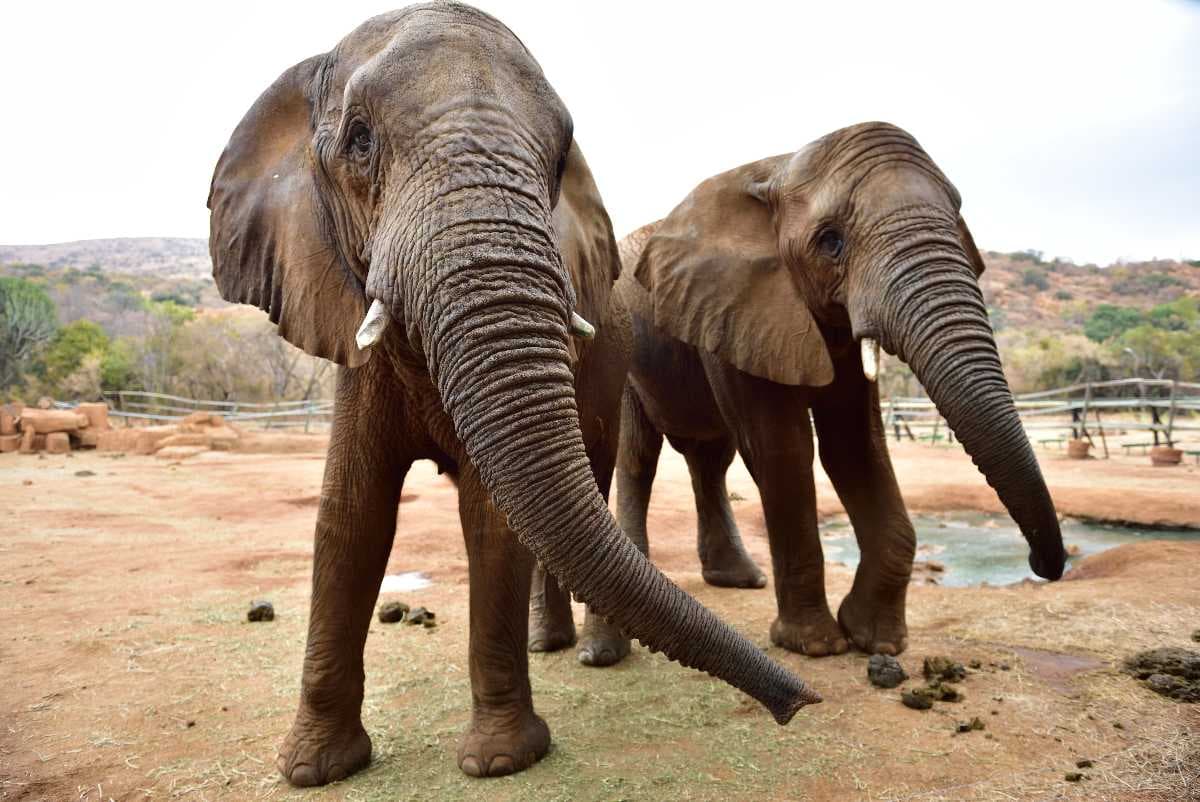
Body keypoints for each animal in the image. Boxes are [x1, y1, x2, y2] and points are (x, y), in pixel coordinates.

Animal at [207, 2, 819, 787]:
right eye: (359, 141)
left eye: (557, 160)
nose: (801, 703)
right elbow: (349, 517)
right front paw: (313, 769)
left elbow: (493, 520)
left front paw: (501, 761)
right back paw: (545, 646)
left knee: (593, 477)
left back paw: (588, 653)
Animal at [540, 122, 1068, 667]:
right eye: (831, 241)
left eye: (958, 220)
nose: (1042, 563)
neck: (778, 168)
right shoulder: (738, 304)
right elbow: (783, 449)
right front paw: (815, 645)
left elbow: (854, 447)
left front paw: (876, 639)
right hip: (627, 353)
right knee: (640, 456)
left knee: (711, 459)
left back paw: (739, 579)